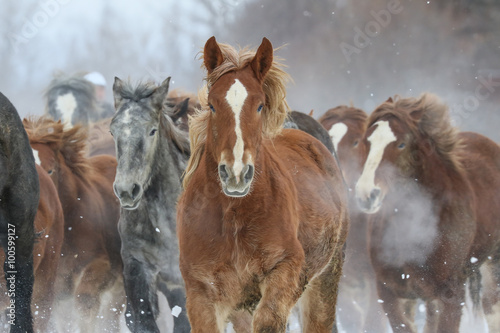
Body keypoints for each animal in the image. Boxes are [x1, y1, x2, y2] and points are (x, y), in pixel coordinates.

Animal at [177, 36, 348, 332]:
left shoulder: (285, 268)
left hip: (325, 279)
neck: (233, 218)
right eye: (212, 105)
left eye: (259, 105)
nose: (236, 173)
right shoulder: (202, 291)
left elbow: (269, 319)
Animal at [354, 92, 500, 332]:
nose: (367, 194)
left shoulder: (451, 295)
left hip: (492, 262)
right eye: (366, 141)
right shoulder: (390, 293)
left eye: (401, 144)